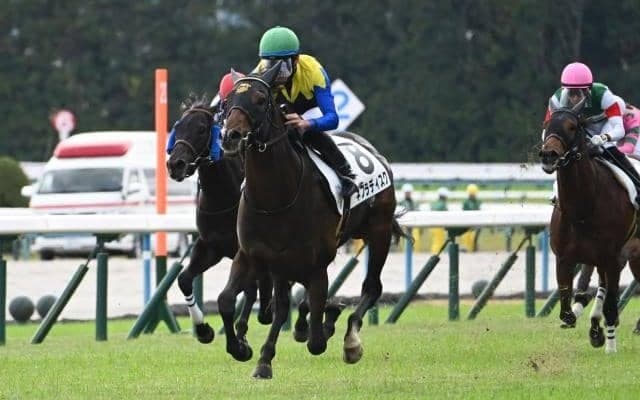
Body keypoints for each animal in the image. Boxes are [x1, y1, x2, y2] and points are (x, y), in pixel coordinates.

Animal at [219, 63, 409, 378]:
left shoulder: (316, 263)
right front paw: (247, 351)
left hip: (379, 231)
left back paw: (350, 340)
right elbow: (227, 301)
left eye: (260, 99)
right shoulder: (253, 256)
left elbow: (316, 338)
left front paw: (326, 323)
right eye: (227, 101)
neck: (275, 197)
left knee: (372, 287)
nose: (230, 136)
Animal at [539, 100, 640, 353]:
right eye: (547, 125)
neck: (583, 208)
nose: (548, 155)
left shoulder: (613, 259)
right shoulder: (565, 259)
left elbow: (611, 306)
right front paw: (595, 331)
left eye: (572, 126)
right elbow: (567, 309)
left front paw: (610, 346)